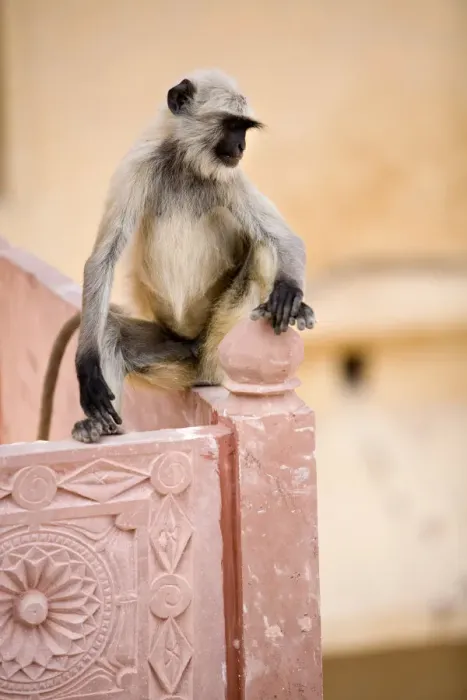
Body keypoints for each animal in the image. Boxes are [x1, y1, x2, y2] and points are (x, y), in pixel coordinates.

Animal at [37, 69, 315, 444]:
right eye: (231, 126)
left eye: (244, 129)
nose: (241, 147)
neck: (185, 163)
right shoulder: (138, 166)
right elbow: (103, 259)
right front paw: (87, 368)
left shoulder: (231, 176)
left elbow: (285, 239)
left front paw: (290, 295)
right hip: (171, 350)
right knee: (109, 329)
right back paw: (103, 427)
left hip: (214, 342)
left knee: (261, 248)